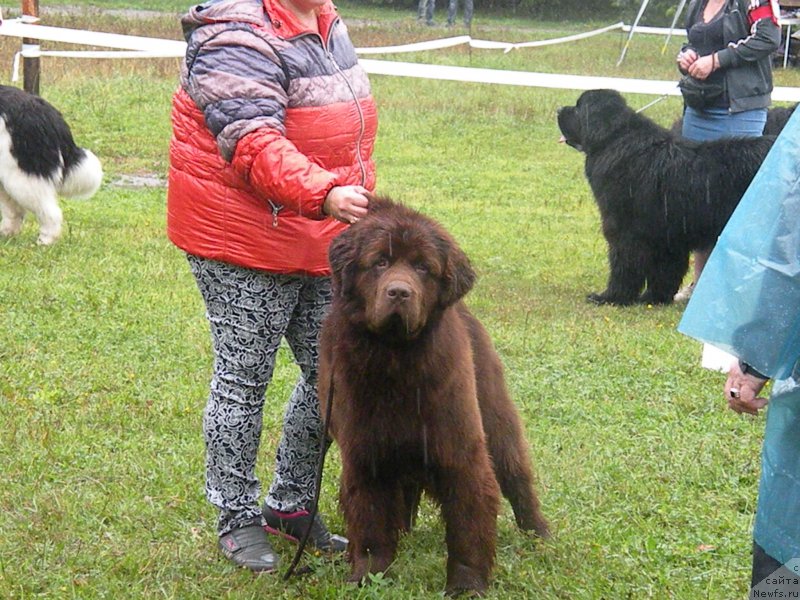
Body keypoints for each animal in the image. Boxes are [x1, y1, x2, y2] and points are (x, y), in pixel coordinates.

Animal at [320, 197, 552, 596]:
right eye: (380, 262)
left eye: (423, 267)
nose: (399, 292)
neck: (395, 361)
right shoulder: (365, 451)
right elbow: (369, 520)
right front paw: (368, 575)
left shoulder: (459, 448)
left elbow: (468, 525)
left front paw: (467, 585)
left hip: (495, 418)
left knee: (517, 478)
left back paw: (539, 534)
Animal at [556, 90, 776, 304]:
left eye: (578, 108)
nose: (558, 109)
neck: (613, 141)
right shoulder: (667, 232)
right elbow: (665, 269)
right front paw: (654, 298)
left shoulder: (624, 229)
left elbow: (624, 264)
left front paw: (612, 297)